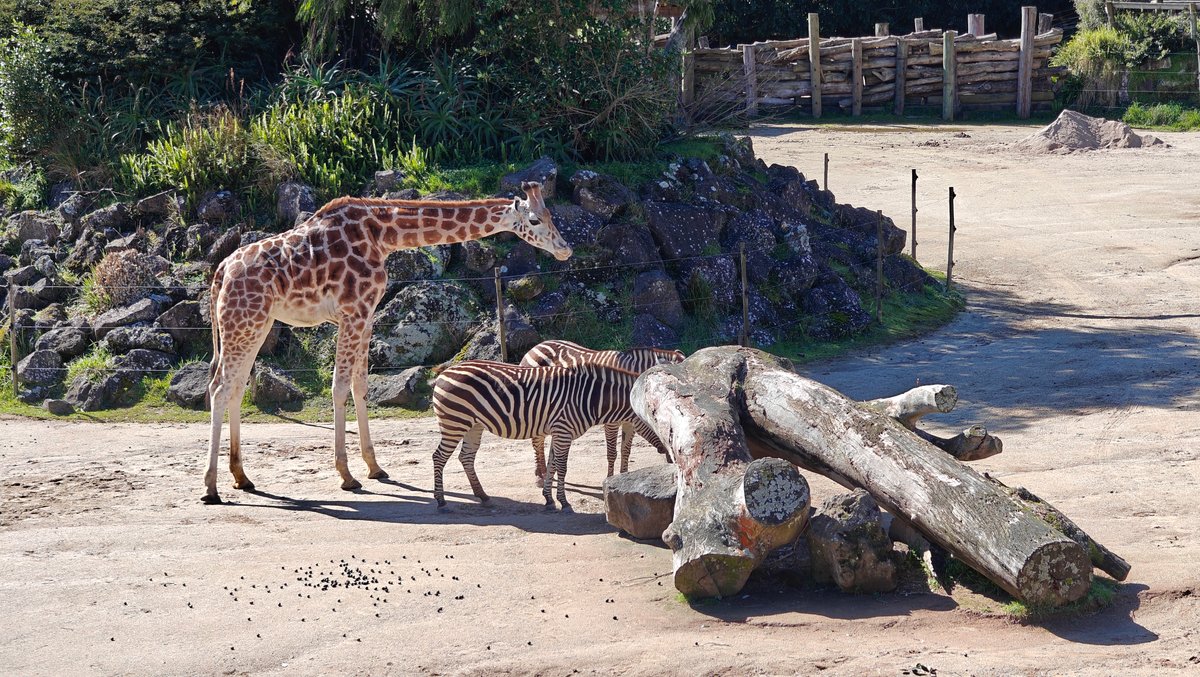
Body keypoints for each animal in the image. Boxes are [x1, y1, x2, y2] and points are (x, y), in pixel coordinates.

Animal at [202, 182, 571, 504]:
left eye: (551, 214)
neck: (384, 235)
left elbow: (360, 386)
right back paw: (211, 487)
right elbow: (339, 387)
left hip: (256, 323)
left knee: (235, 387)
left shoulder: (366, 316)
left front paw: (374, 467)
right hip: (244, 320)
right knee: (219, 388)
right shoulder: (353, 311)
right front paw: (346, 475)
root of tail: (220, 273)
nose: (565, 248)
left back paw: (242, 477)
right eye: (535, 220)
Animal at [431, 359, 666, 511]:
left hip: (473, 426)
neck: (591, 397)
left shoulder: (558, 432)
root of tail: (446, 371)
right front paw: (564, 502)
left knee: (466, 457)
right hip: (455, 422)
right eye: (656, 420)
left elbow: (552, 465)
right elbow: (562, 467)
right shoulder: (563, 431)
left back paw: (483, 496)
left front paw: (549, 499)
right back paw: (441, 500)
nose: (667, 451)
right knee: (439, 457)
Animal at [519, 340, 683, 485]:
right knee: (537, 441)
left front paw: (624, 476)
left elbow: (625, 451)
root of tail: (536, 346)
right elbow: (612, 453)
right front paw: (610, 478)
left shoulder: (630, 422)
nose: (672, 460)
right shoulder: (612, 421)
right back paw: (539, 475)